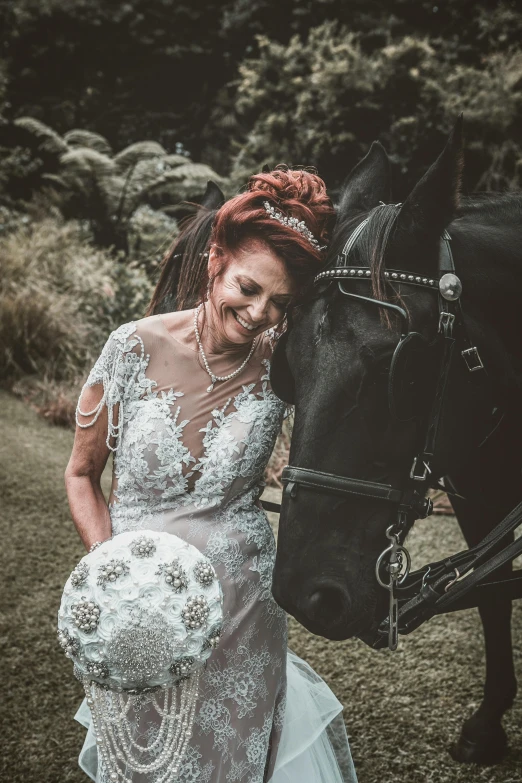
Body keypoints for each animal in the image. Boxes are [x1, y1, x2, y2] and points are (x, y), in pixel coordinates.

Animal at [268, 118, 520, 764]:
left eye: (399, 366)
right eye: (287, 364)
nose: (308, 595)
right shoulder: (478, 481)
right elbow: (491, 595)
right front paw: (488, 723)